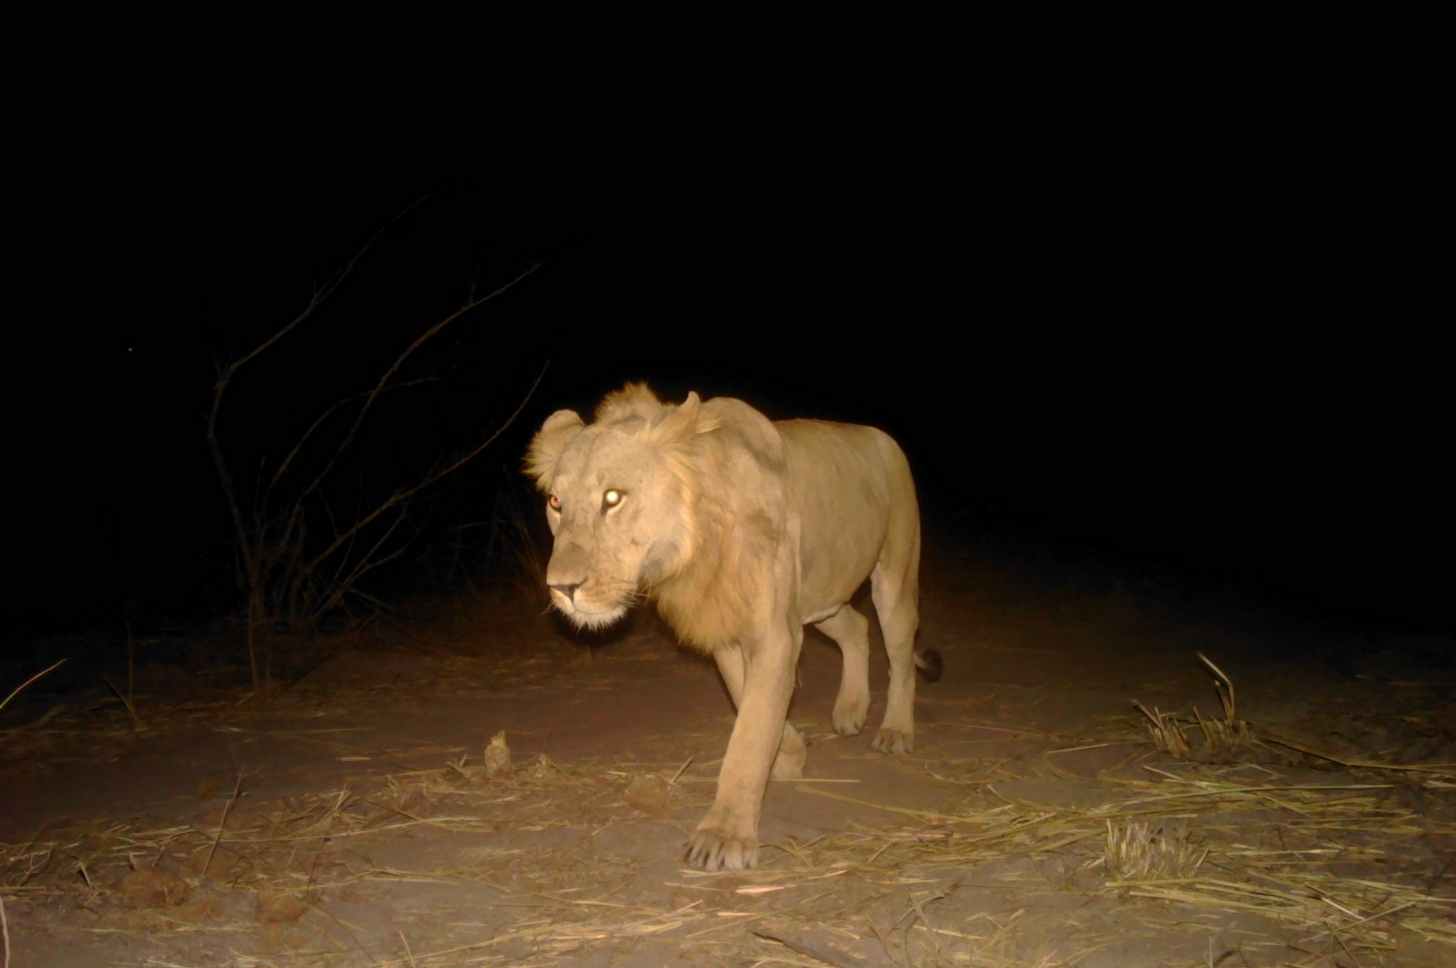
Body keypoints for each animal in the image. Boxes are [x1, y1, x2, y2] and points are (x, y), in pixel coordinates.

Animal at [525, 383, 939, 871]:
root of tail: (881, 437)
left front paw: (724, 836)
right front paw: (789, 754)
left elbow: (750, 732)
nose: (561, 587)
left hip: (894, 576)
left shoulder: (775, 633)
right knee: (856, 627)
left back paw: (895, 731)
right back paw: (850, 710)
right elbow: (747, 700)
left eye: (613, 498)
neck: (691, 544)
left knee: (900, 654)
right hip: (821, 597)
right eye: (556, 503)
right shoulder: (725, 624)